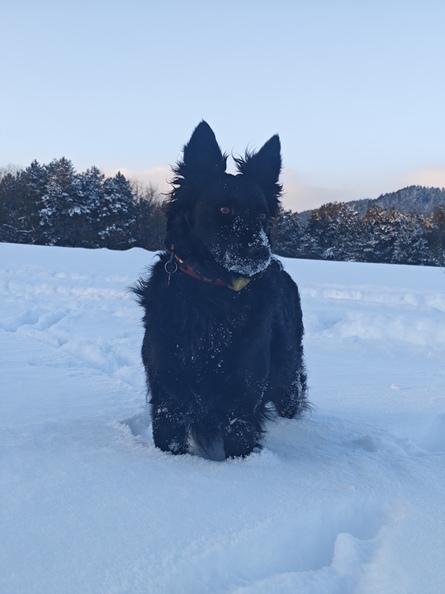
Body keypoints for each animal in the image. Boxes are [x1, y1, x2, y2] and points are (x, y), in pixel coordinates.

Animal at [134, 121, 307, 458]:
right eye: (225, 209)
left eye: (263, 215)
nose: (260, 253)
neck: (212, 294)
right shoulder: (168, 396)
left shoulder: (242, 400)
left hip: (286, 375)